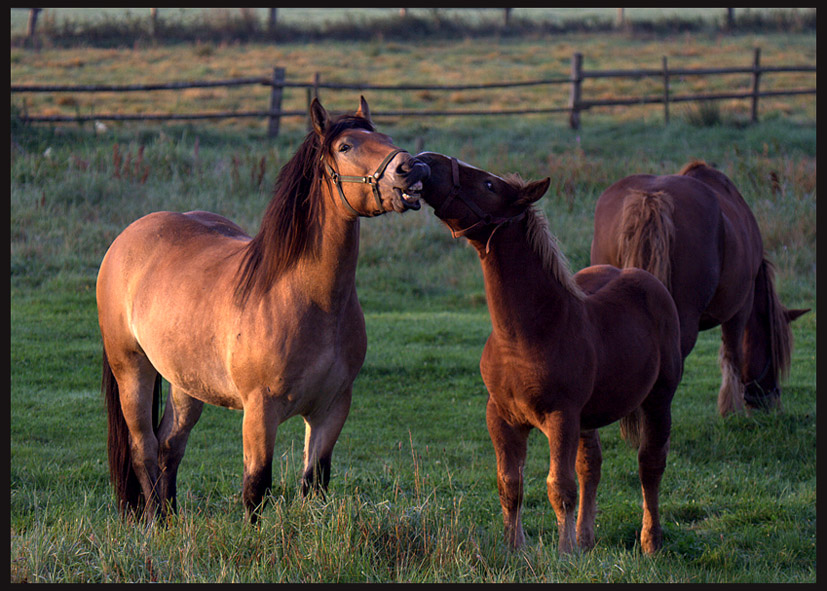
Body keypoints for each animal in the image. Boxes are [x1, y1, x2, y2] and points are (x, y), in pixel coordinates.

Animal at [99, 96, 430, 524]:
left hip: (185, 382)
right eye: (345, 146)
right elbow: (256, 487)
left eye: (385, 138)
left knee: (170, 446)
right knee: (145, 449)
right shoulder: (260, 411)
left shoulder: (331, 409)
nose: (411, 168)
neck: (307, 300)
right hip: (132, 369)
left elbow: (314, 483)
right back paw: (155, 523)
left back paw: (172, 521)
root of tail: (127, 238)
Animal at [418, 153, 684, 556]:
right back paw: (587, 539)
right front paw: (515, 548)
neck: (524, 336)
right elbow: (510, 485)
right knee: (592, 466)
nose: (424, 161)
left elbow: (559, 487)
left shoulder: (562, 416)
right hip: (589, 417)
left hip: (658, 398)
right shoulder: (501, 416)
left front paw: (564, 554)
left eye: (489, 185)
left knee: (649, 465)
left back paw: (650, 541)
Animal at [588, 158, 808, 416]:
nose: (770, 404)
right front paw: (731, 412)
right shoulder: (741, 306)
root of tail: (650, 198)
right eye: (776, 353)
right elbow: (732, 353)